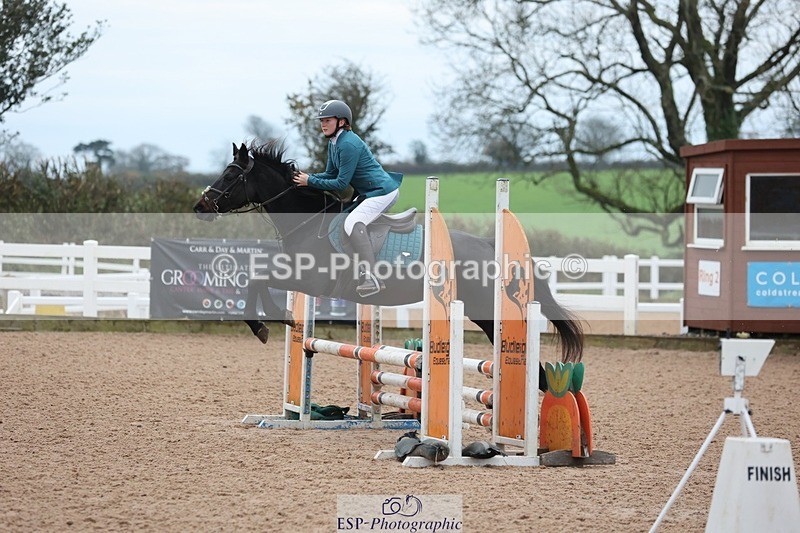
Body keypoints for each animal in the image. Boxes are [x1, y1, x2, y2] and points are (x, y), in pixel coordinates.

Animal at [194, 141, 583, 387]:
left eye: (230, 176)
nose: (200, 207)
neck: (307, 222)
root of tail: (490, 245)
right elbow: (256, 276)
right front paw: (277, 319)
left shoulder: (312, 281)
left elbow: (258, 278)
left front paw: (270, 322)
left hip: (487, 312)